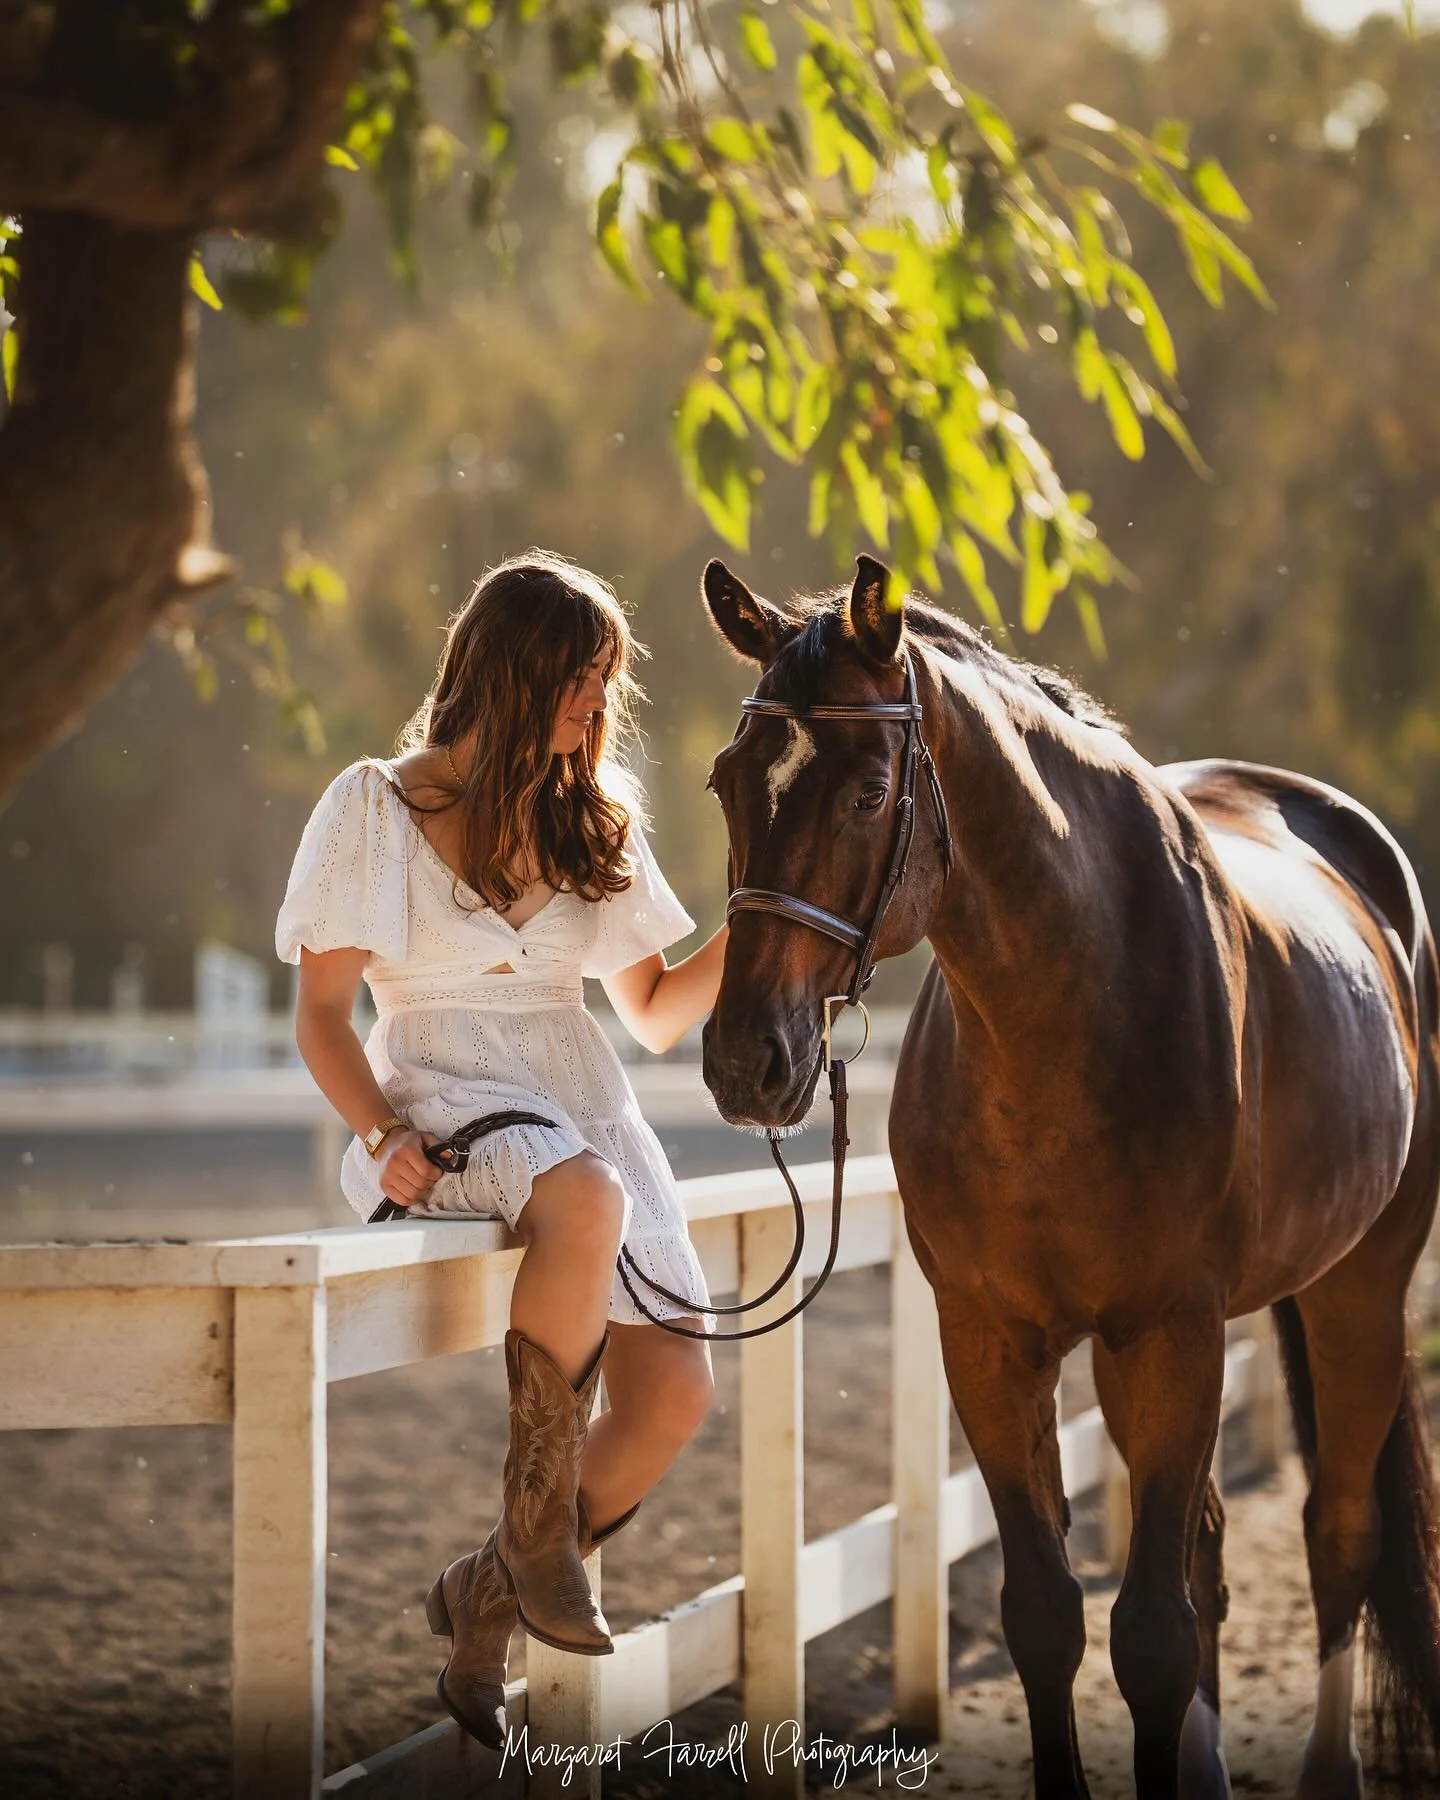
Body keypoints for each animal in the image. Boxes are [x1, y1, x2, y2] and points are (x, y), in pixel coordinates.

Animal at [698, 552, 1440, 1800]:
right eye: (726, 784)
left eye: (867, 794)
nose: (746, 1058)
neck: (1064, 1016)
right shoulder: (990, 1340)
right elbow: (1047, 1614)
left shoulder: (1172, 1333)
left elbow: (1150, 1636)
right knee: (1211, 1553)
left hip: (1359, 1289)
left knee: (1338, 1535)